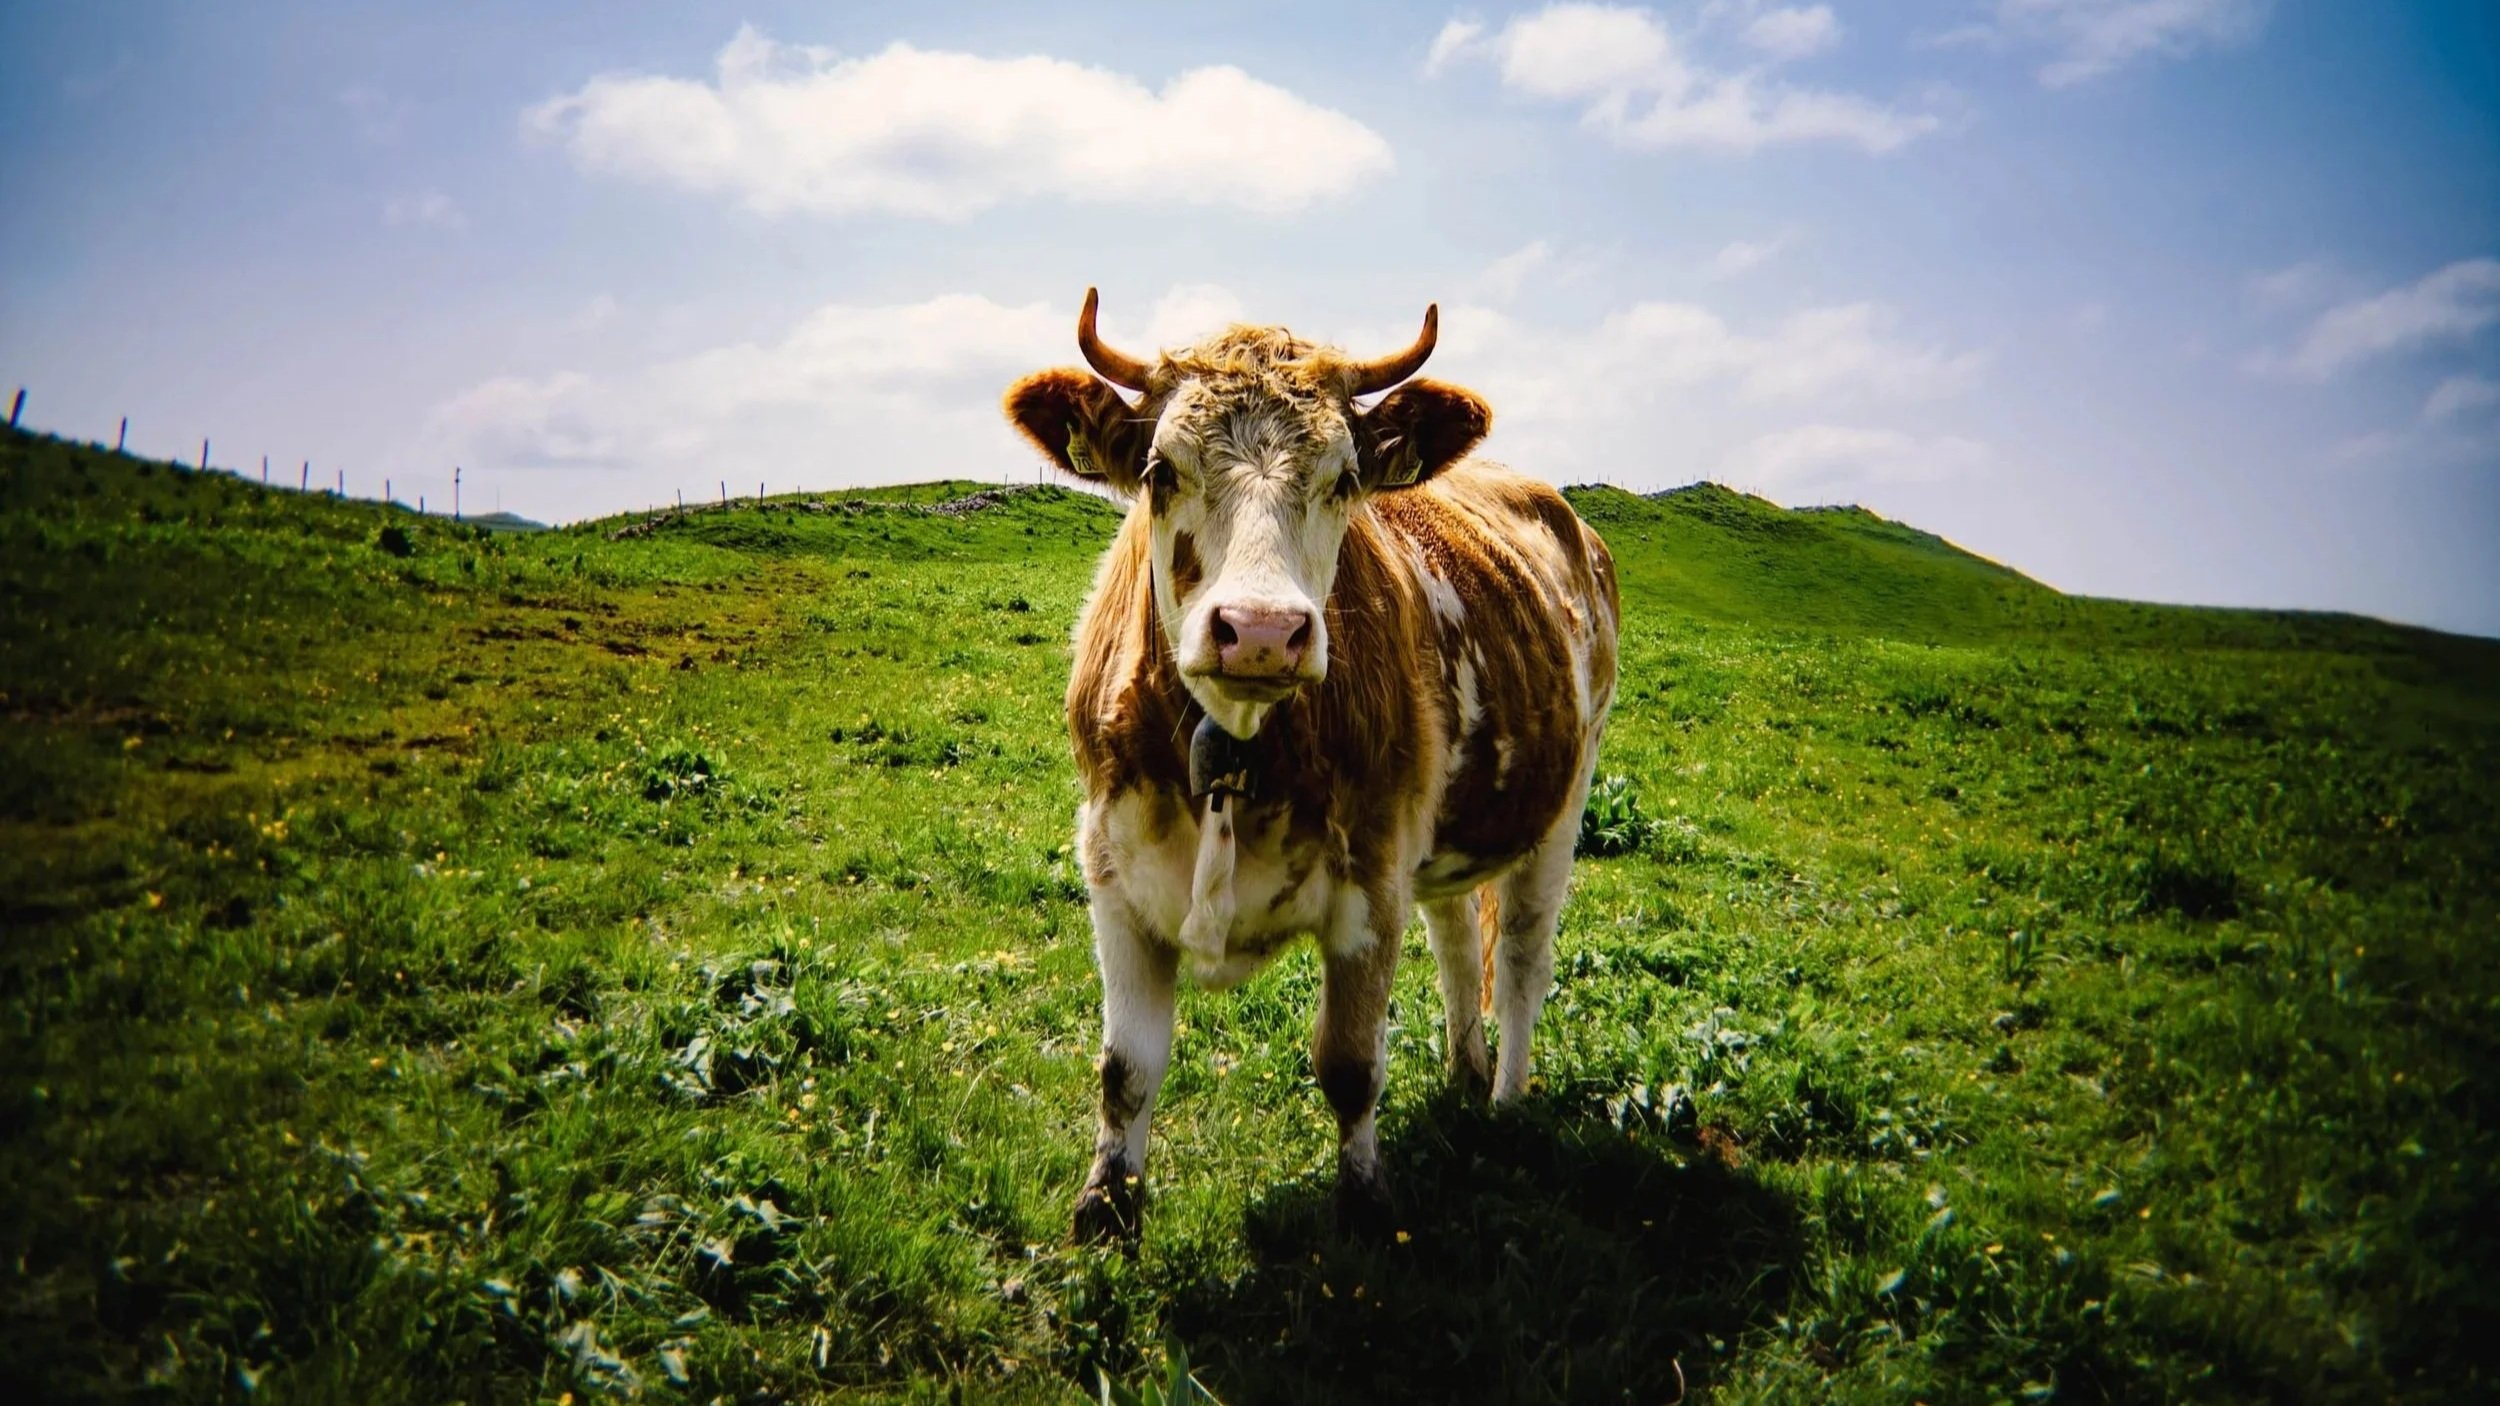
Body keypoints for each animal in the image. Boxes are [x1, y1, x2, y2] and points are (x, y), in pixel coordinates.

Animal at [1002, 291, 1619, 1242]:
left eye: (1343, 478)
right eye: (1159, 471)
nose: (1260, 630)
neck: (1233, 752)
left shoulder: (1370, 885)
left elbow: (1351, 1062)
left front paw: (1365, 1203)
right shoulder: (1113, 874)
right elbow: (1126, 1066)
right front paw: (1106, 1208)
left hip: (1562, 803)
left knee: (1520, 957)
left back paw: (1507, 1099)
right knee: (1454, 935)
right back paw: (1465, 1072)